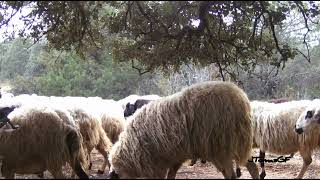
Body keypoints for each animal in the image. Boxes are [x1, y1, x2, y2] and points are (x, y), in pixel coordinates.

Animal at [105, 81, 258, 179]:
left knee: (232, 174)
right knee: (251, 167)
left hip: (221, 146)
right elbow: (172, 174)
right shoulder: (175, 156)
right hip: (238, 142)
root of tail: (242, 99)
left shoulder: (157, 164)